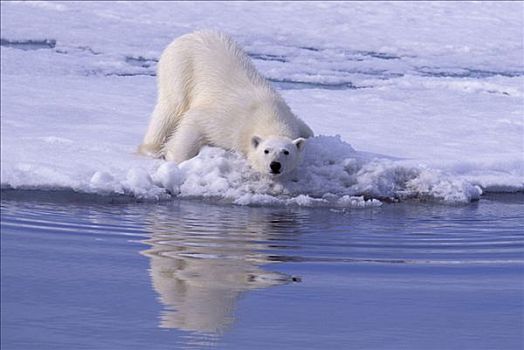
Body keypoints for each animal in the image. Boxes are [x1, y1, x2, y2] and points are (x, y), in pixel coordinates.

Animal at [137, 30, 314, 176]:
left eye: (286, 152)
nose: (275, 165)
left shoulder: (291, 117)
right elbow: (194, 123)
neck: (267, 114)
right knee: (171, 107)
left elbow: (307, 129)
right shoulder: (230, 120)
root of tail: (188, 35)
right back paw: (151, 148)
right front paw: (176, 158)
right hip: (180, 68)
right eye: (266, 150)